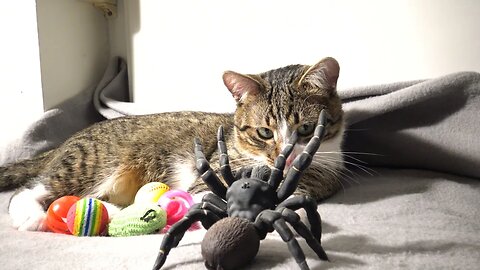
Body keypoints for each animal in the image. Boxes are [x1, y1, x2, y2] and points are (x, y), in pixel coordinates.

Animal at [0, 56, 344, 230]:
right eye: (264, 133)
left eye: (306, 129)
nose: (285, 157)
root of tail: (67, 141)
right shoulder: (212, 175)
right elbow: (206, 194)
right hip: (92, 165)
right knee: (30, 189)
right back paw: (32, 216)